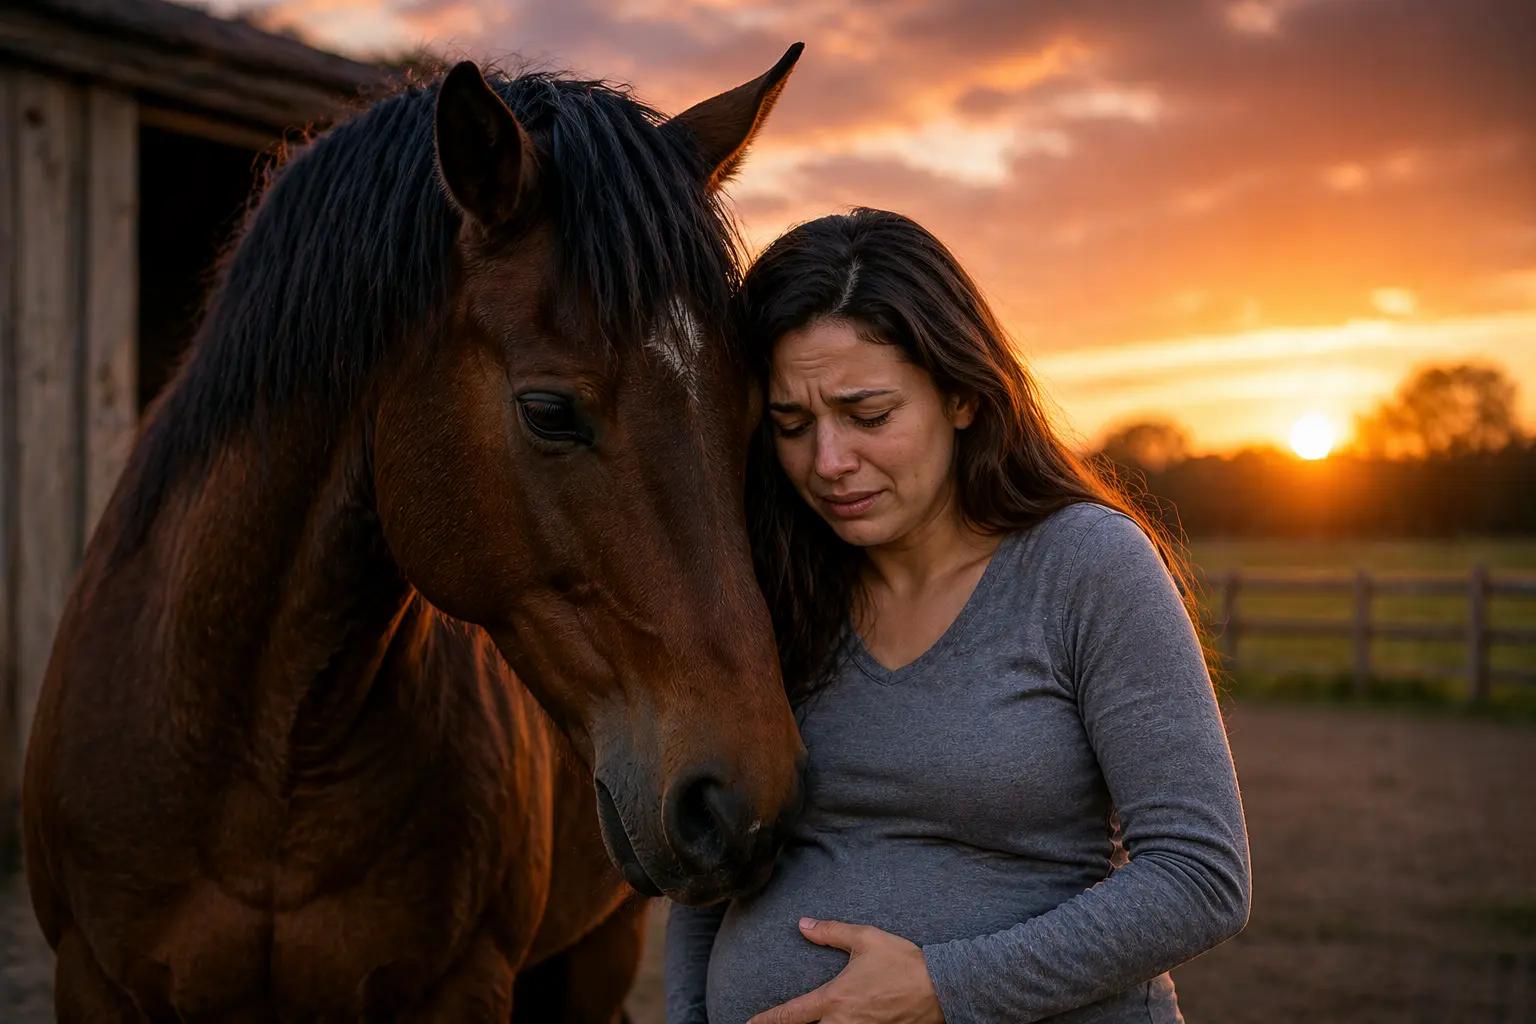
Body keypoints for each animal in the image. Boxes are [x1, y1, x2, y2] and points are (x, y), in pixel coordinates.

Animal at [21, 45, 807, 1021]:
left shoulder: (459, 986)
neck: (265, 752)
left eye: (752, 414)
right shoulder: (92, 978)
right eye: (548, 412)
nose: (746, 806)